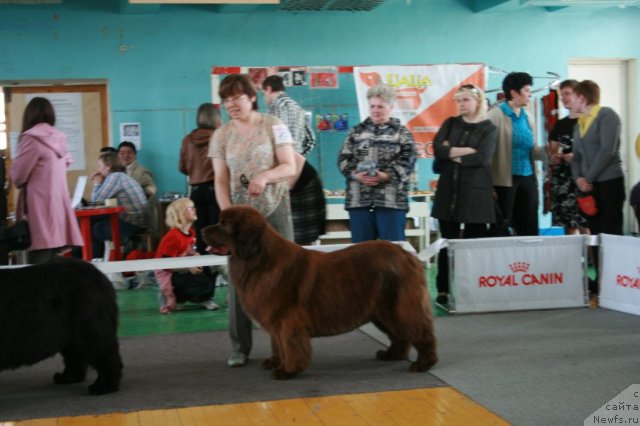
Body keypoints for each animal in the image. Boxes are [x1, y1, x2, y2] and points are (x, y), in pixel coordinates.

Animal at [0, 255, 122, 394]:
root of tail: (98, 274)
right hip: (70, 336)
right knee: (75, 358)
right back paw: (67, 377)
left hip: (89, 330)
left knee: (105, 356)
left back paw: (104, 386)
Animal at [202, 206, 438, 380]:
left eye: (223, 225)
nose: (203, 229)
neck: (259, 259)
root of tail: (407, 255)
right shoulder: (276, 321)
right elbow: (277, 344)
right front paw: (276, 361)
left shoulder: (286, 320)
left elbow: (289, 345)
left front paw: (287, 370)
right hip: (381, 311)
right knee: (400, 335)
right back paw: (391, 355)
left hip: (399, 306)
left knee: (420, 331)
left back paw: (424, 363)